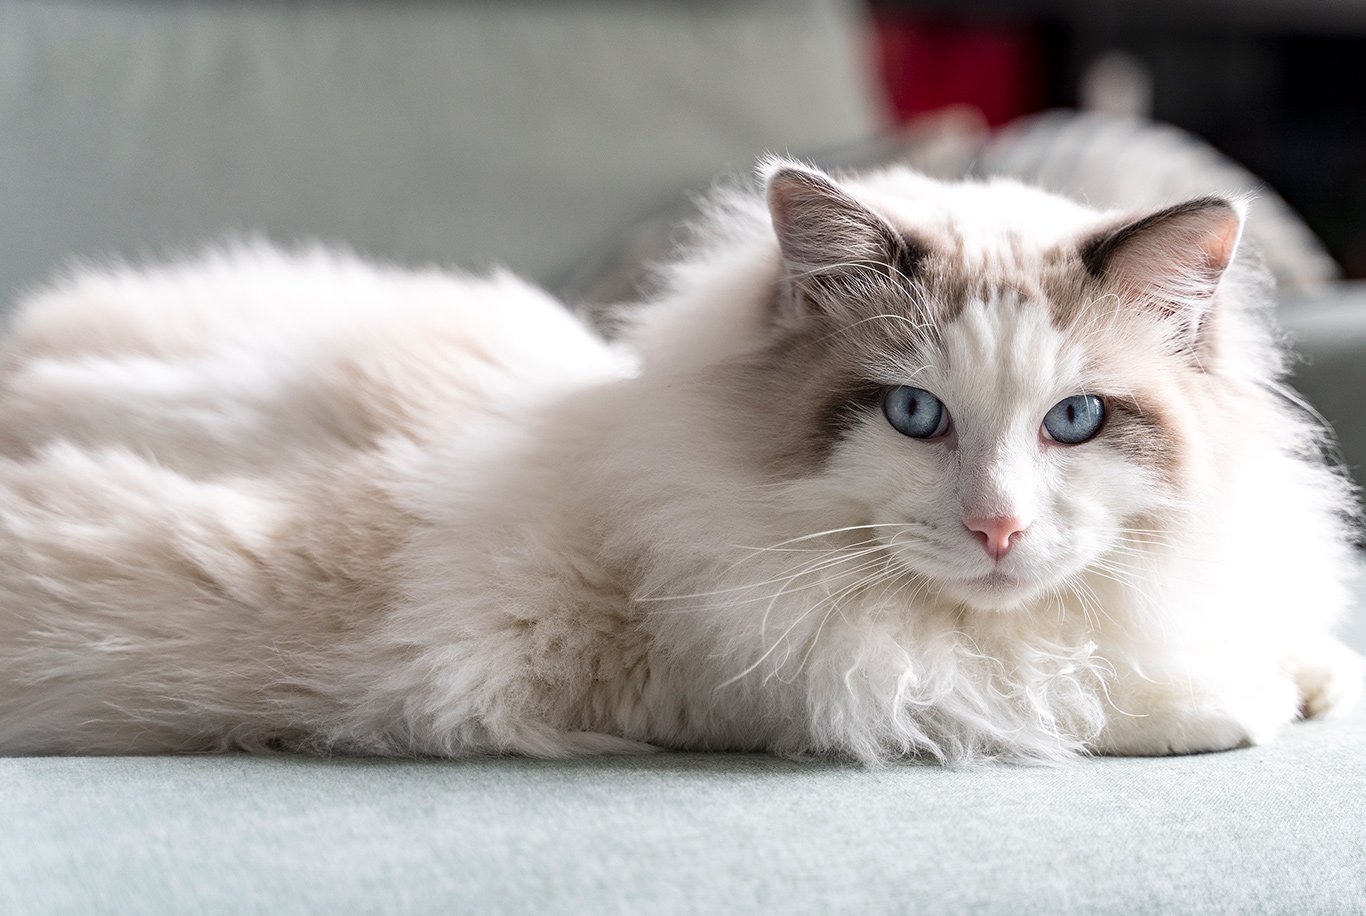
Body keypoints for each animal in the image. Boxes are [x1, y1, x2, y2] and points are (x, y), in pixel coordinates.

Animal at [0, 159, 1360, 764]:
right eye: (913, 414)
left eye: (1071, 422)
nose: (997, 532)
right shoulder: (779, 679)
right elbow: (1093, 697)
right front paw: (1253, 699)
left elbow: (1291, 644)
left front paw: (1315, 676)